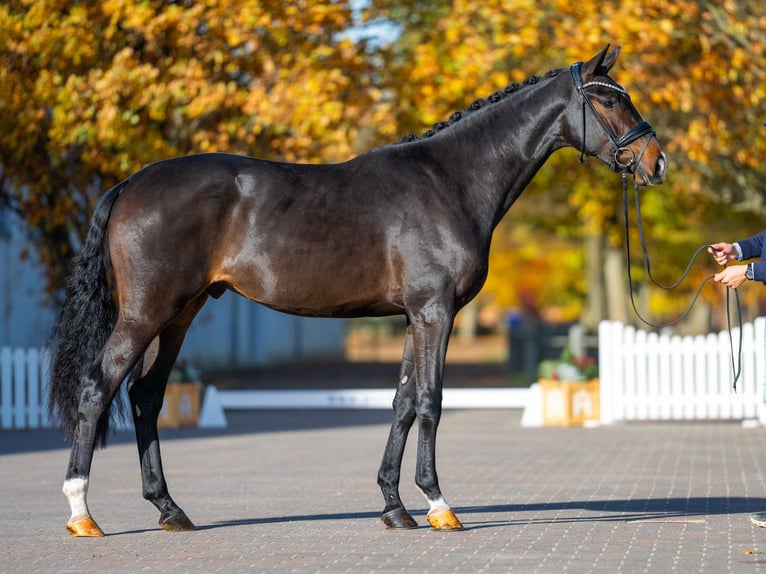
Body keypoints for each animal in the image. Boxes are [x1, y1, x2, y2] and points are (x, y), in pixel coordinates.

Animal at [49, 45, 666, 537]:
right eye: (609, 100)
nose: (656, 162)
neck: (450, 181)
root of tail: (130, 184)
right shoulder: (435, 312)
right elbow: (431, 402)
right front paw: (438, 504)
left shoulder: (415, 316)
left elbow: (402, 404)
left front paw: (395, 506)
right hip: (146, 313)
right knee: (97, 387)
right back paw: (82, 513)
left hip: (179, 314)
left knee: (146, 396)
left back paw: (170, 510)